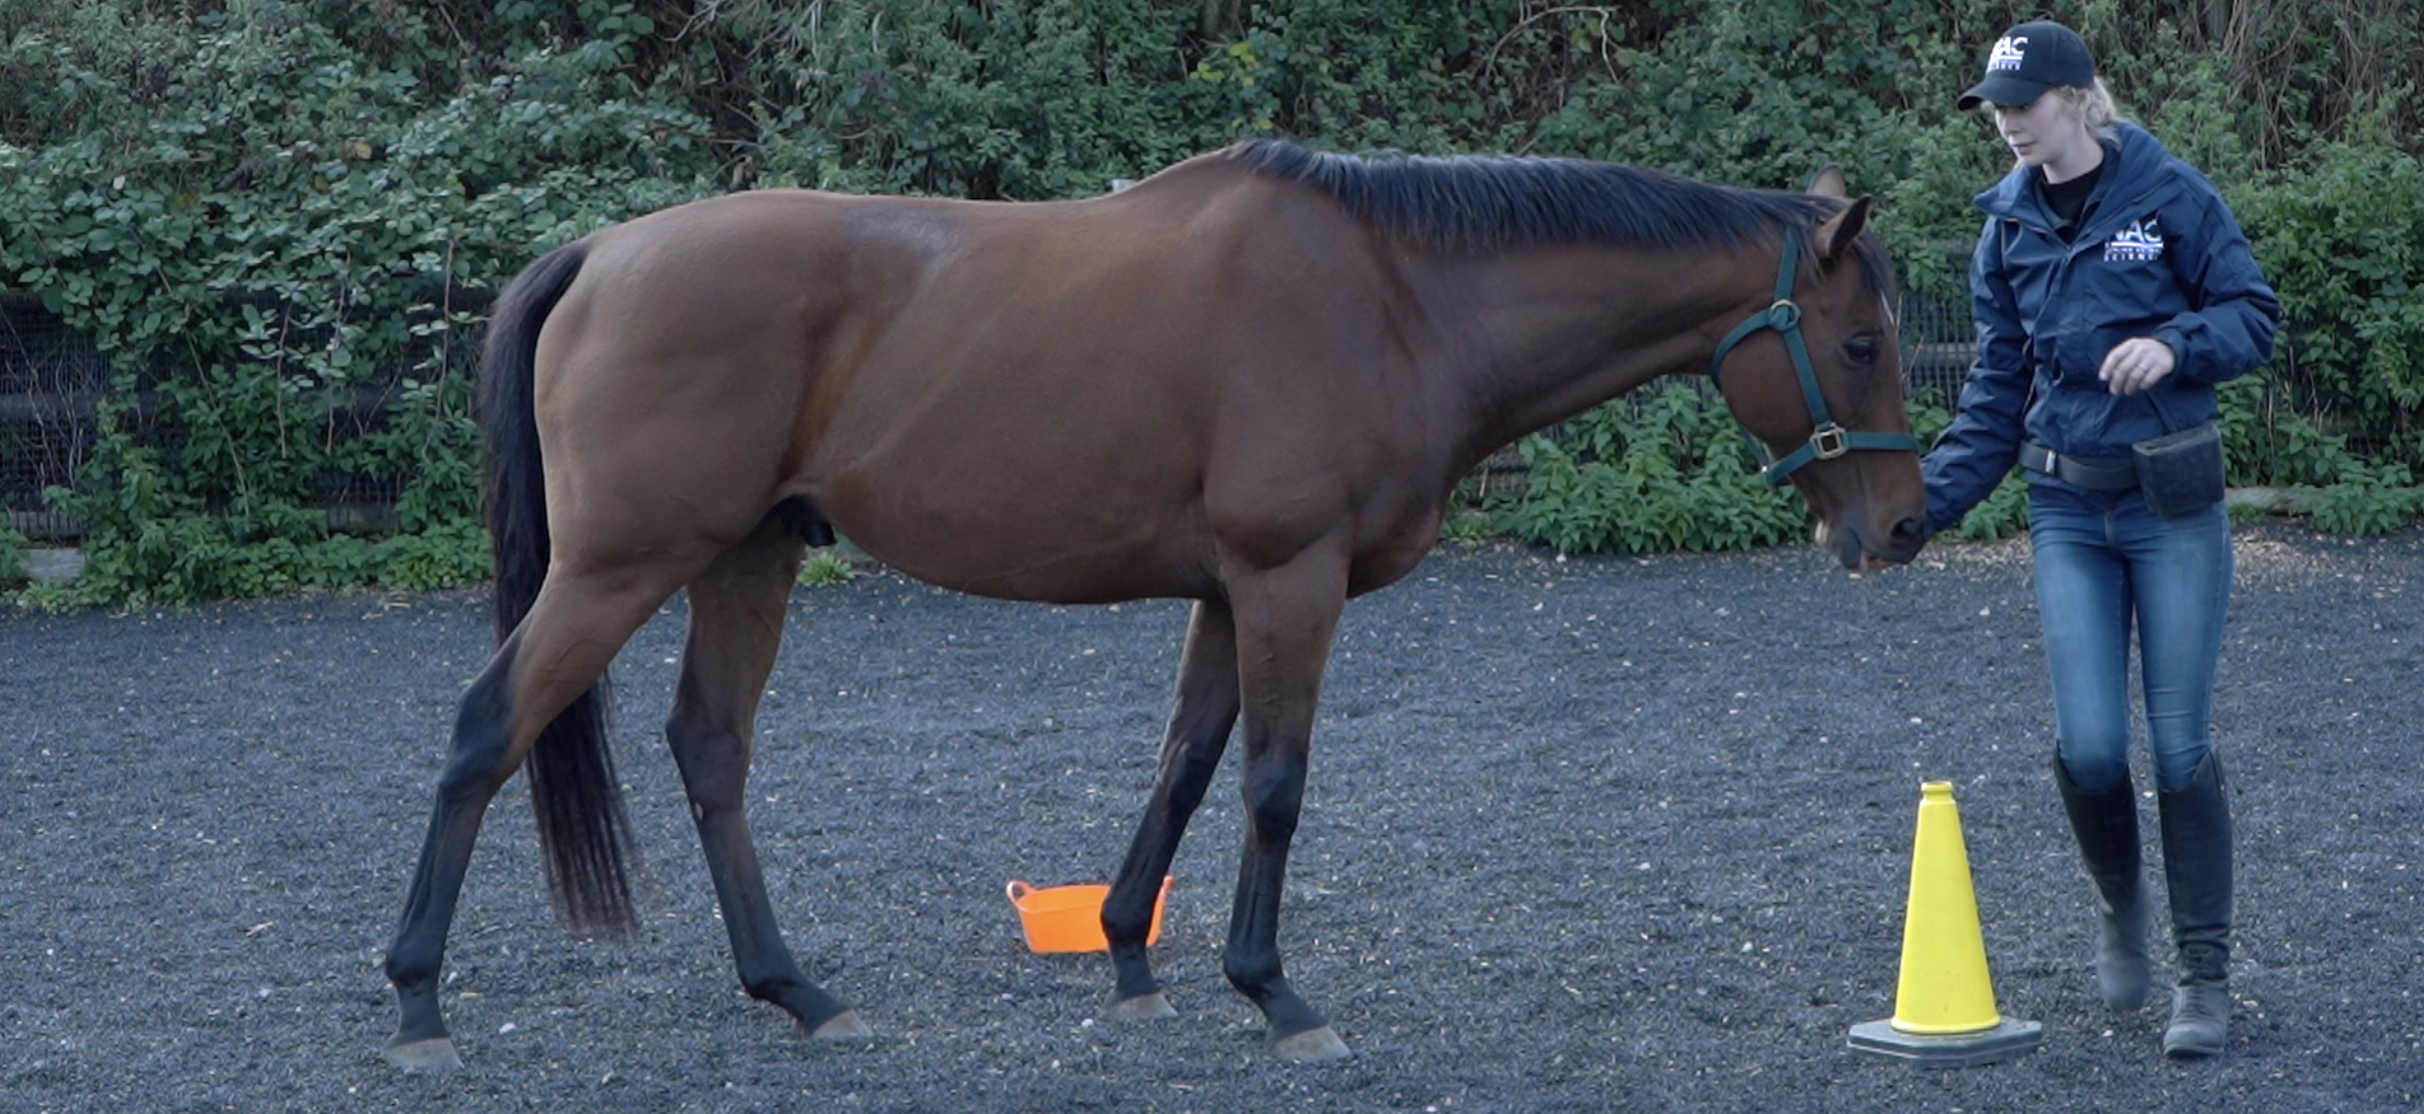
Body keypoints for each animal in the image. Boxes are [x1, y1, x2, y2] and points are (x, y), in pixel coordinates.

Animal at [380, 139, 1929, 1070]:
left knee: (708, 750)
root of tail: (598, 254)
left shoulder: (1228, 592)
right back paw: (415, 996)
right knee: (480, 733)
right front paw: (1273, 989)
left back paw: (794, 989)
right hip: (620, 567)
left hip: (746, 558)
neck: (1398, 303)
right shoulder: (1289, 578)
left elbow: (1186, 760)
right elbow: (1273, 783)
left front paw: (1128, 946)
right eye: (1859, 341)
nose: (1904, 527)